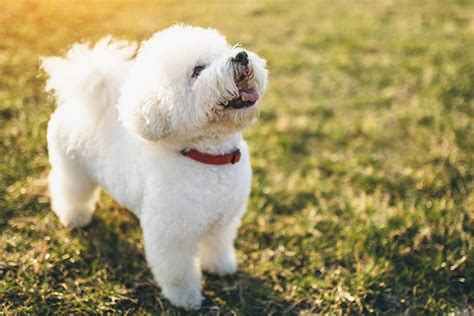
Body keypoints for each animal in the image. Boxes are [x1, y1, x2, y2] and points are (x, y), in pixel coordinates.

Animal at [41, 25, 266, 308]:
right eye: (197, 70)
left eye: (223, 51)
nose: (242, 57)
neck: (206, 157)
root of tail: (76, 103)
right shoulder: (172, 235)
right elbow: (178, 271)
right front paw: (186, 299)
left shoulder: (223, 221)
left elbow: (217, 246)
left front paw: (221, 267)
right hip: (73, 168)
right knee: (69, 191)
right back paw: (75, 217)